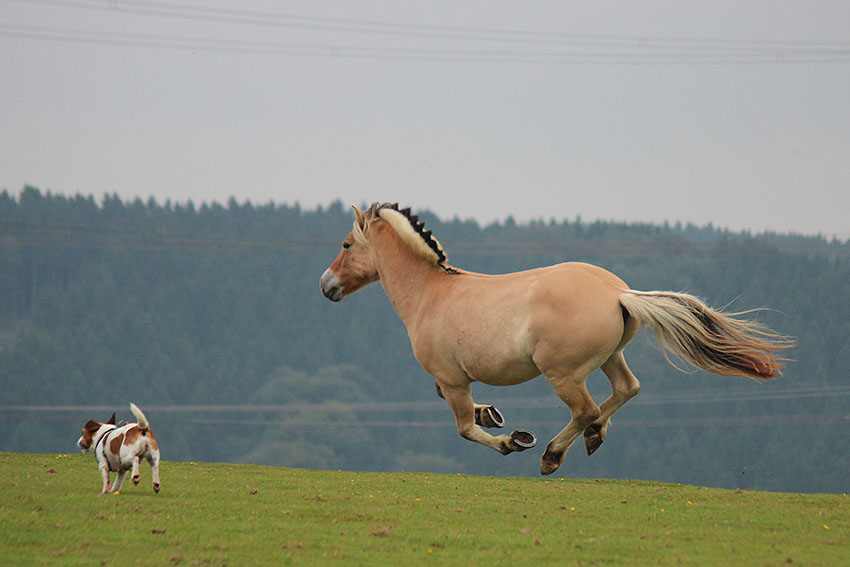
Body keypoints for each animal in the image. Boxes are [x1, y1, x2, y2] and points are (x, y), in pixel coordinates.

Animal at [318, 202, 788, 478]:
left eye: (346, 243)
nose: (326, 285)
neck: (431, 294)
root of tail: (618, 293)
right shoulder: (450, 380)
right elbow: (463, 410)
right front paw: (493, 414)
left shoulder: (452, 379)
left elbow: (466, 428)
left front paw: (511, 440)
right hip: (609, 358)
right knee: (626, 389)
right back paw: (594, 436)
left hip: (562, 374)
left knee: (587, 409)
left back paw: (552, 453)